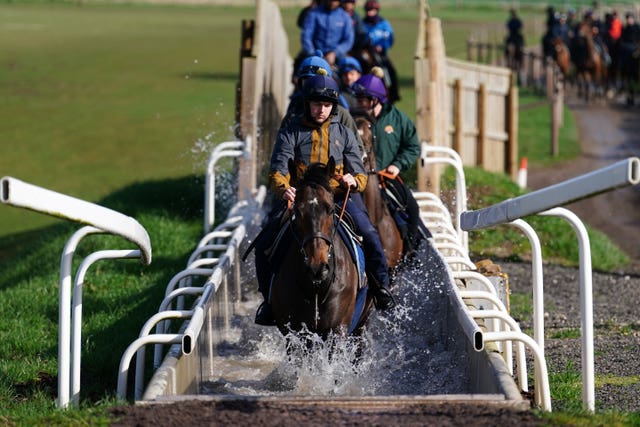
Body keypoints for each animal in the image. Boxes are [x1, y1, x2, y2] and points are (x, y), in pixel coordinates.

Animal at [268, 158, 372, 342]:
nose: (317, 267)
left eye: (330, 209)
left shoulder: (337, 330)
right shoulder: (295, 333)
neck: (316, 287)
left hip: (361, 326)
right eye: (296, 210)